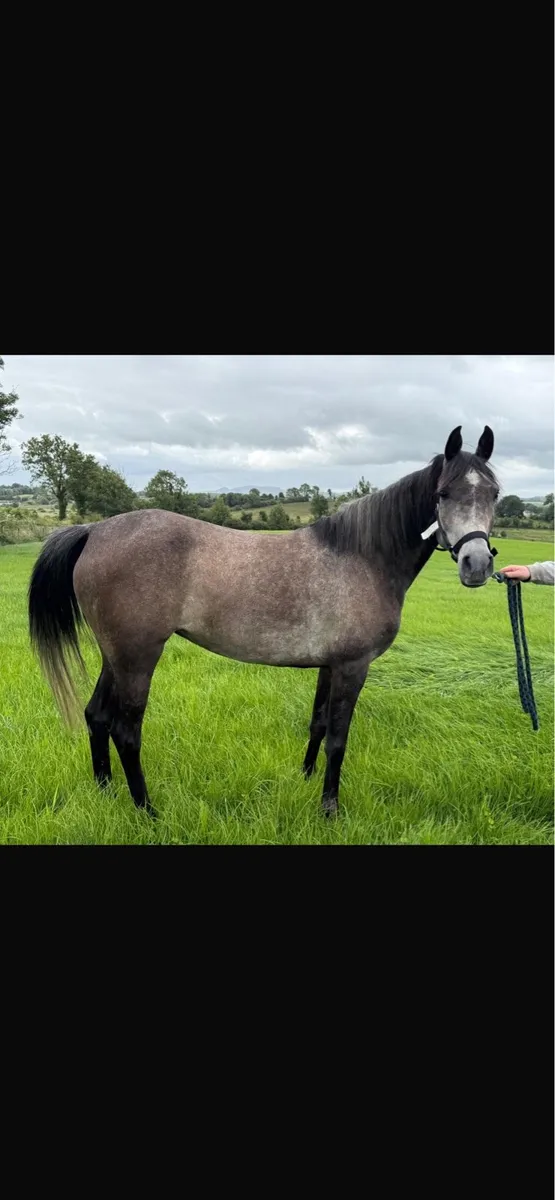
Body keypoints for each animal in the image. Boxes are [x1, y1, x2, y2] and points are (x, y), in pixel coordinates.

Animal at [28, 424, 499, 817]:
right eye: (443, 493)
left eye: (494, 493)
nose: (477, 564)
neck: (361, 558)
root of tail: (94, 530)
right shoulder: (353, 666)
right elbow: (339, 739)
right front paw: (330, 809)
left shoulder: (330, 665)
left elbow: (318, 724)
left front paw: (305, 780)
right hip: (137, 658)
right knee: (126, 730)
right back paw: (147, 811)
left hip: (115, 656)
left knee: (96, 716)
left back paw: (106, 792)